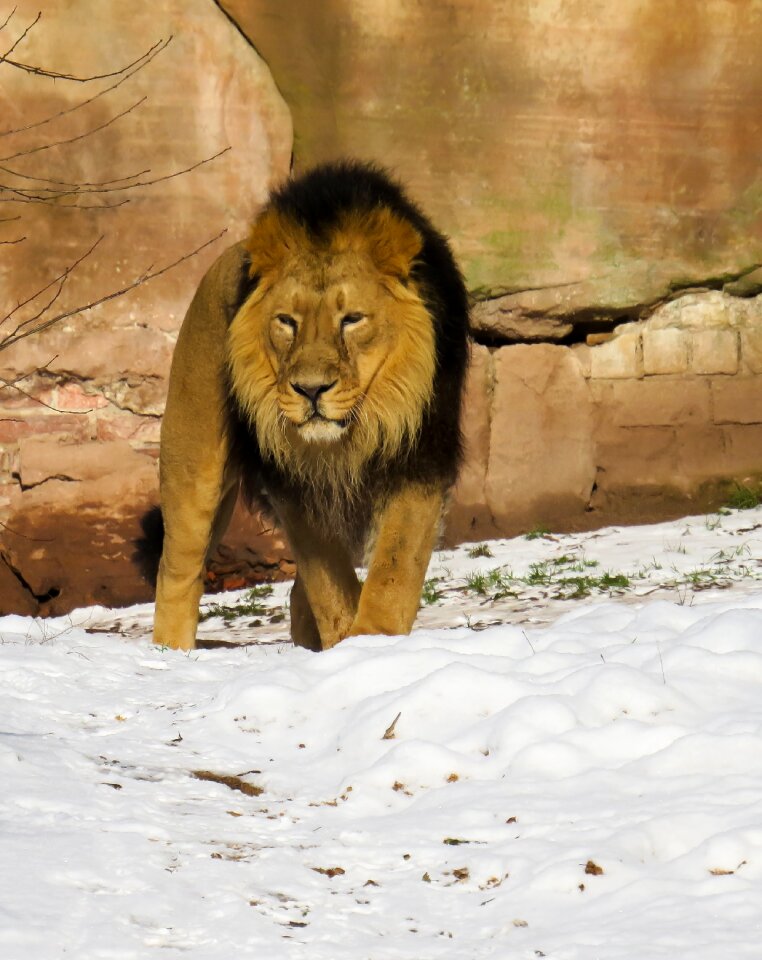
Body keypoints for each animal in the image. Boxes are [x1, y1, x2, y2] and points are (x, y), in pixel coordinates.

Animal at [154, 163, 470, 652]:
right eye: (287, 321)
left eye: (352, 319)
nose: (310, 389)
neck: (354, 434)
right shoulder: (294, 485)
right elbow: (329, 583)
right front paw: (349, 642)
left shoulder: (420, 460)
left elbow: (394, 569)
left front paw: (372, 641)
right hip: (193, 467)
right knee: (177, 572)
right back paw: (170, 654)